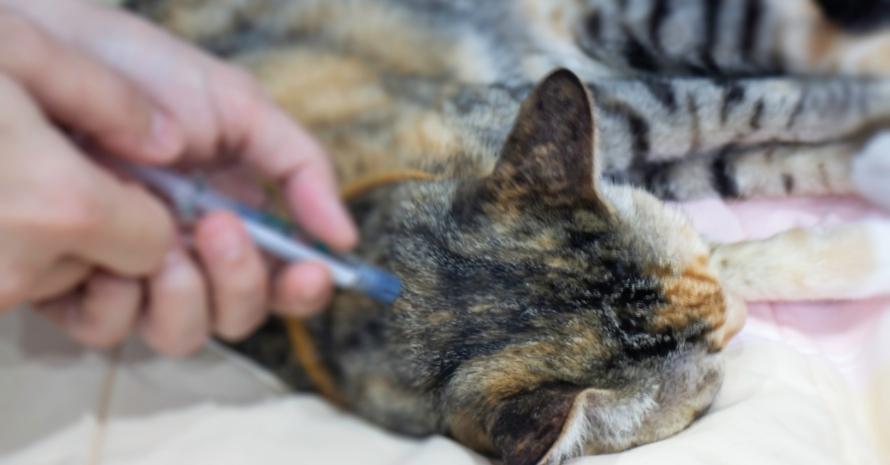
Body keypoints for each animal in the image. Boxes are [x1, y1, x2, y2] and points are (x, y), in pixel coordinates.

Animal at [123, 0, 888, 464]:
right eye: (712, 371)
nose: (742, 320)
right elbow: (758, 168)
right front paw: (863, 236)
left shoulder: (633, 109)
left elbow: (758, 104)